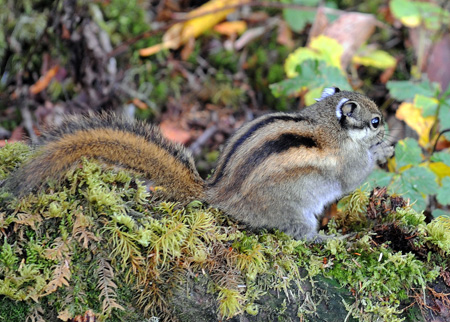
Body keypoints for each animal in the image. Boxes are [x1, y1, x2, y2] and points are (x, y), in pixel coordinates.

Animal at [1, 88, 392, 242]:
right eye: (374, 120)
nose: (385, 125)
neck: (326, 123)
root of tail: (220, 193)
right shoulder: (345, 162)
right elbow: (354, 176)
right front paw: (382, 149)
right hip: (294, 211)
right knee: (302, 235)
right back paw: (331, 238)